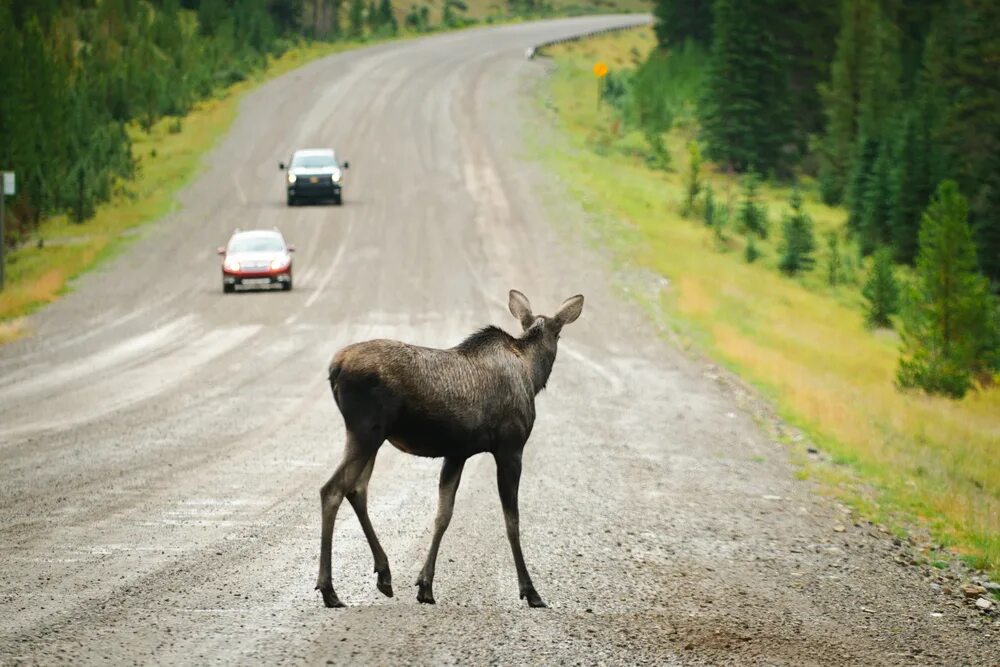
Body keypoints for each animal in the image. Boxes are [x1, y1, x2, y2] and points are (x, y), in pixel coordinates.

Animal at [316, 290, 584, 608]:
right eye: (559, 332)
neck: (531, 373)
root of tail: (335, 367)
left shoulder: (457, 453)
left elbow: (443, 515)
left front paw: (425, 585)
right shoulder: (510, 448)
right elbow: (512, 521)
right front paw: (530, 591)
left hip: (369, 437)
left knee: (356, 489)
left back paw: (383, 574)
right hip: (366, 432)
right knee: (332, 490)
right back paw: (329, 589)